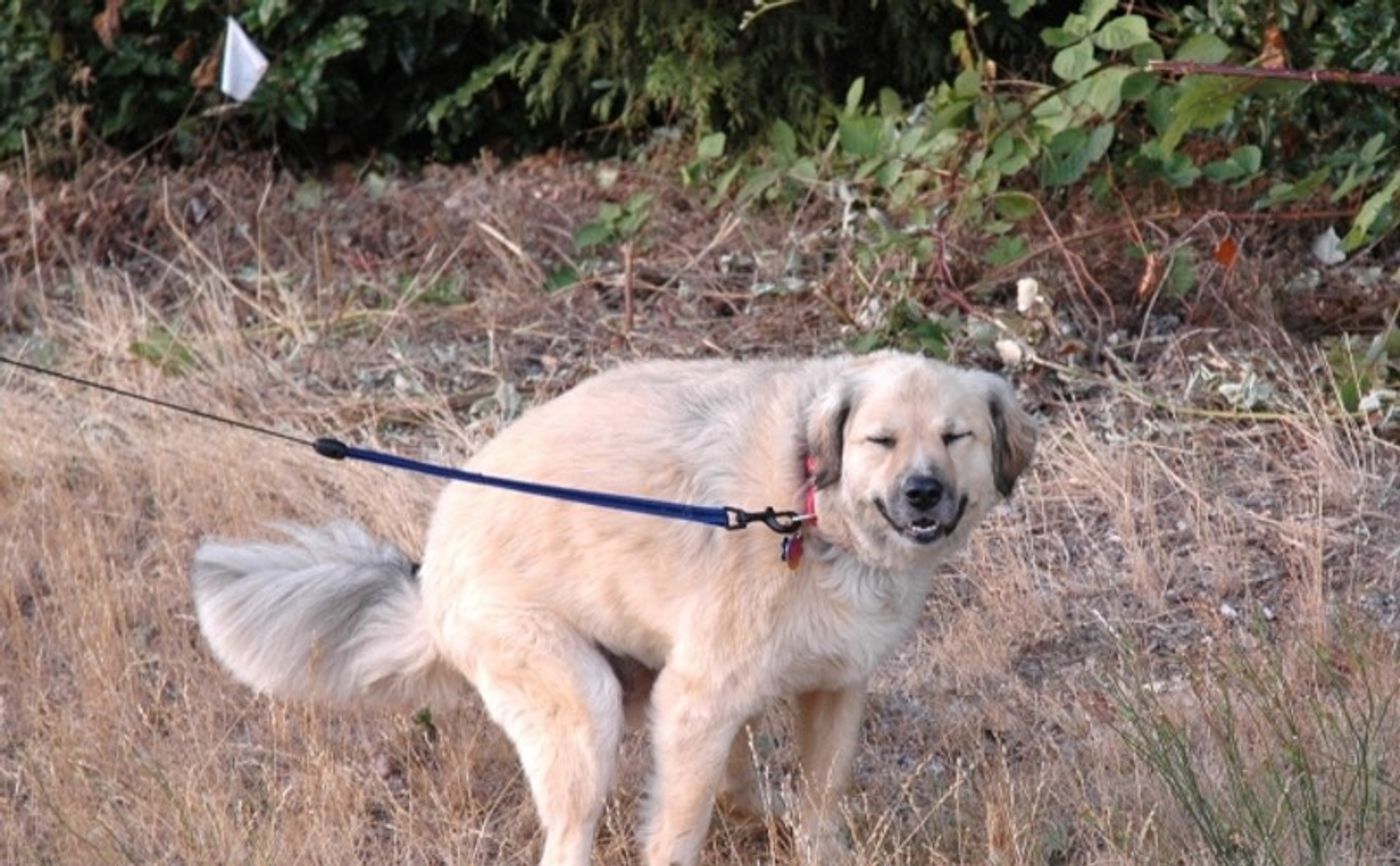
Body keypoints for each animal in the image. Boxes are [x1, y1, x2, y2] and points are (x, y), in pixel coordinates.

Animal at [191, 352, 1036, 866]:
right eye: (880, 440)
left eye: (955, 437)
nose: (922, 493)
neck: (806, 507)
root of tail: (429, 577)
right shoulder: (696, 702)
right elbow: (677, 831)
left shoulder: (834, 691)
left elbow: (821, 804)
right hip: (583, 709)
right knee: (570, 841)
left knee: (732, 777)